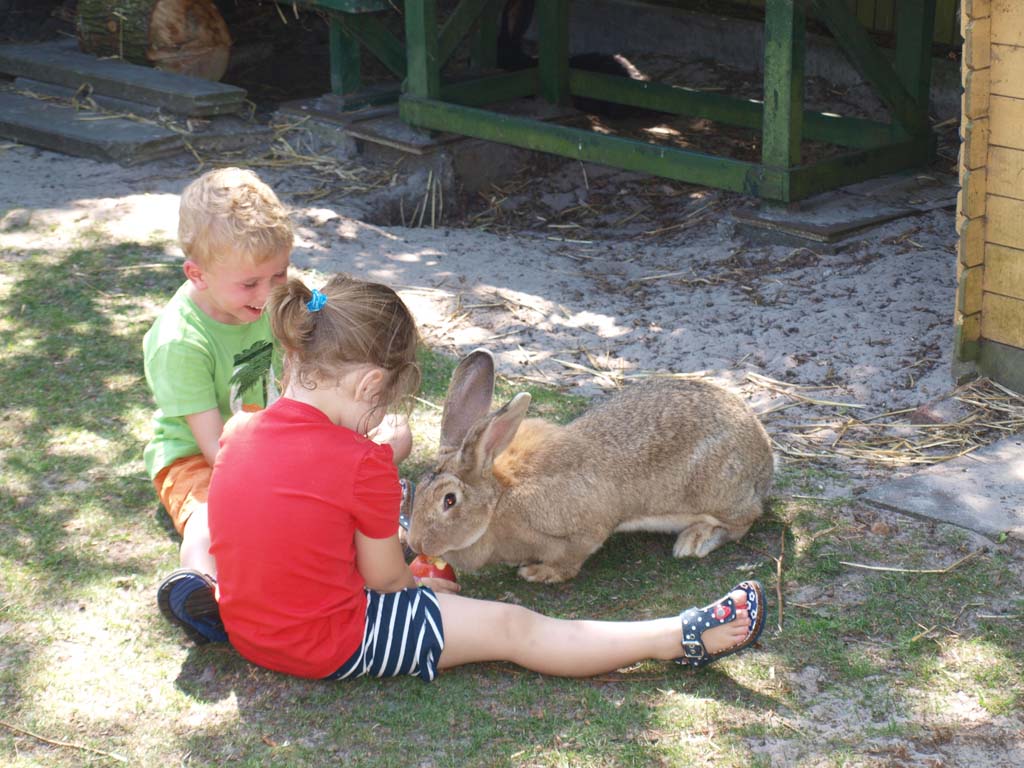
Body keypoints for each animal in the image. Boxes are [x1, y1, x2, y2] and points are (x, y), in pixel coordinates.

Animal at [403, 350, 770, 581]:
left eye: (449, 500)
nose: (418, 545)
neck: (498, 502)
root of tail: (765, 456)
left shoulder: (582, 532)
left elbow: (571, 560)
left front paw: (539, 573)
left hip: (714, 493)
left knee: (744, 519)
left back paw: (693, 542)